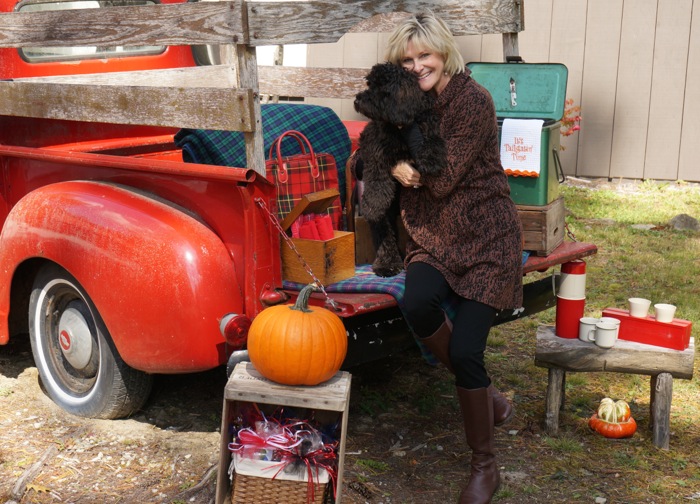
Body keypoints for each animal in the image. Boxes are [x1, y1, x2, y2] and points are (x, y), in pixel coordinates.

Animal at [356, 62, 448, 278]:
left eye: (380, 87)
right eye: (370, 84)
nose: (357, 100)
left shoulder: (429, 125)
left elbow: (433, 139)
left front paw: (432, 158)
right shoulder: (374, 147)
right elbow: (376, 177)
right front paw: (374, 202)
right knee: (385, 236)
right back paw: (387, 264)